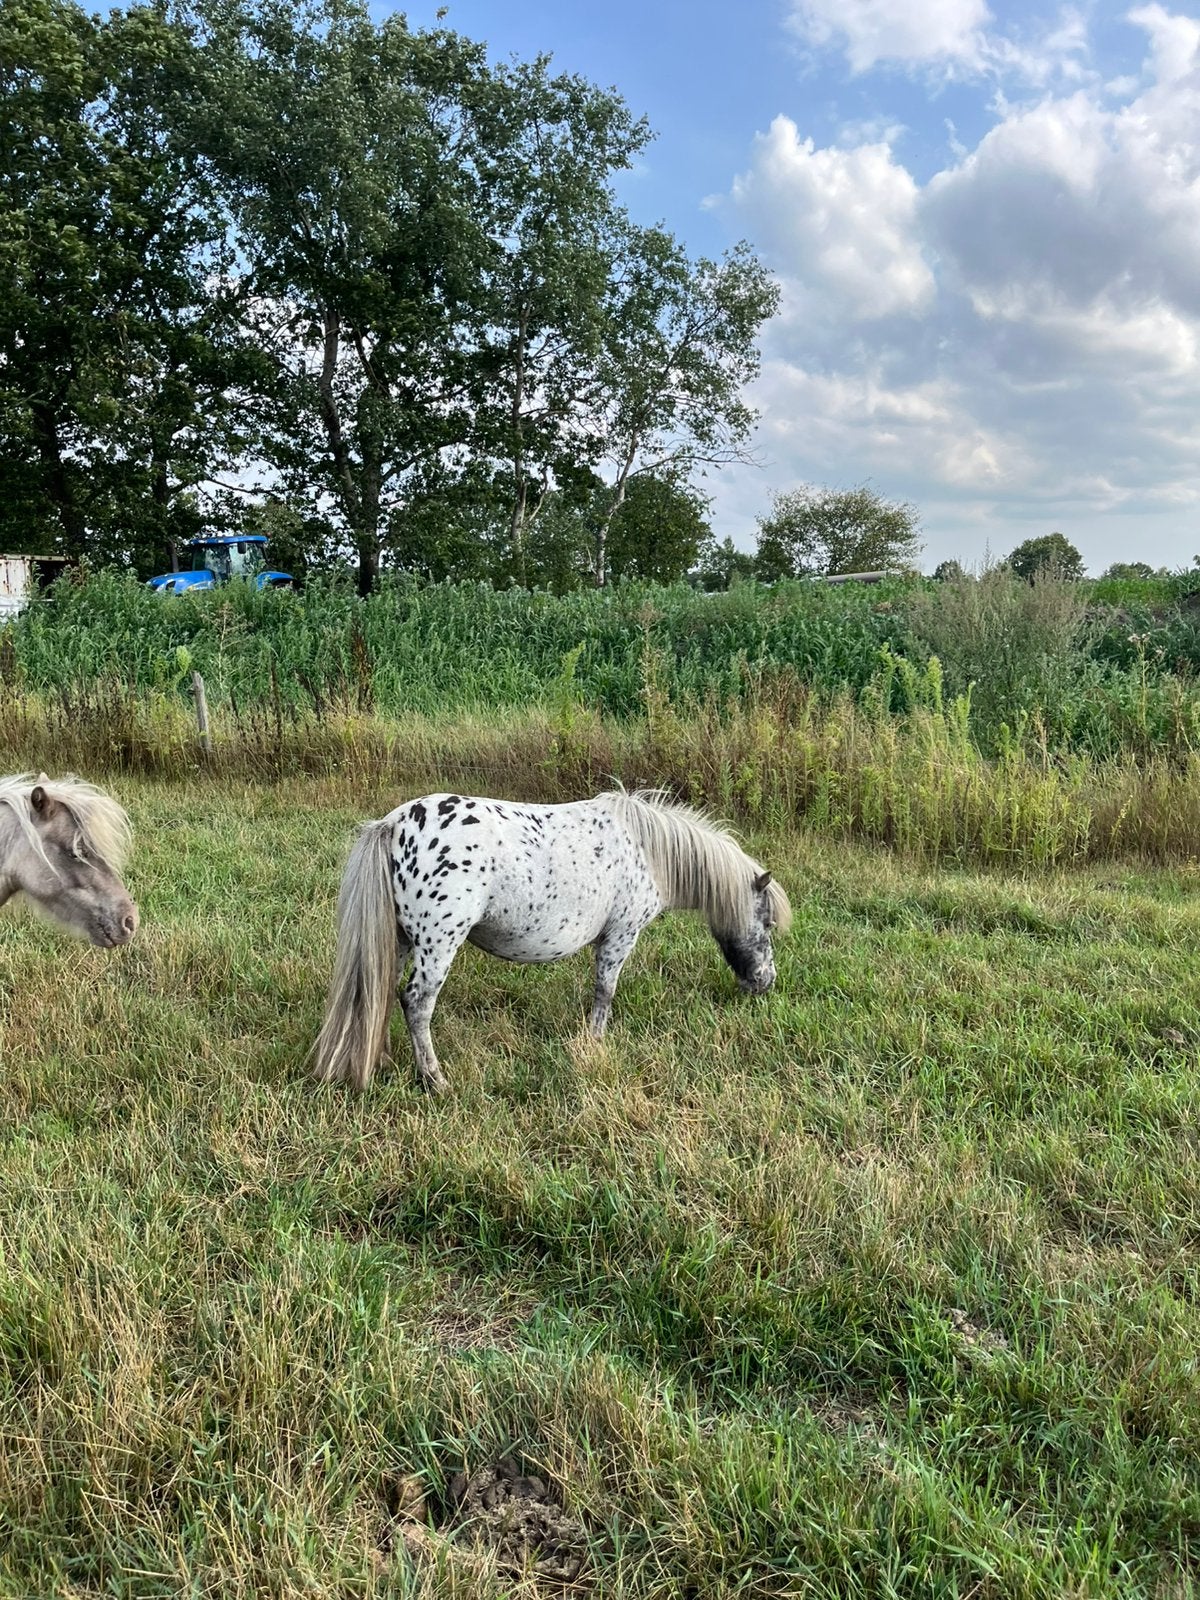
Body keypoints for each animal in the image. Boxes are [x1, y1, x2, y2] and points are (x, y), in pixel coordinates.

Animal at [312, 787, 791, 1093]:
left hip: (401, 942)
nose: (765, 982)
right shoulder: (621, 935)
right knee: (415, 1003)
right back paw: (435, 1080)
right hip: (438, 945)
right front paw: (595, 1044)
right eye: (766, 922)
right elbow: (605, 990)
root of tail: (393, 824)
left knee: (379, 993)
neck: (648, 850)